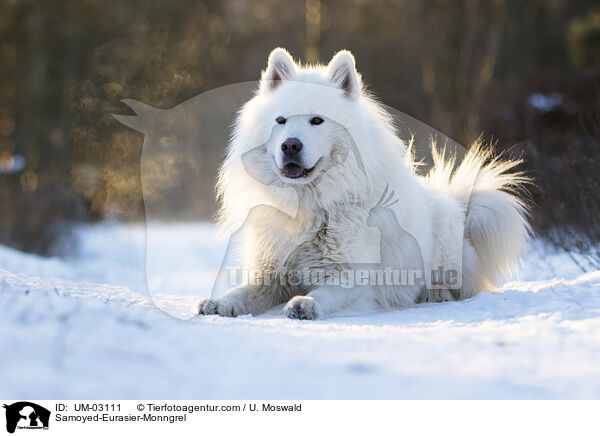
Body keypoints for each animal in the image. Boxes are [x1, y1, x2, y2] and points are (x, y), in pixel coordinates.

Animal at [198, 47, 528, 320]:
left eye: (317, 121)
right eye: (280, 120)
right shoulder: (270, 272)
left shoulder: (350, 276)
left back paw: (435, 294)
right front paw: (219, 303)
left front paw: (306, 304)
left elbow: (326, 293)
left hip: (446, 257)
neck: (308, 204)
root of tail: (458, 203)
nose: (290, 145)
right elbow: (243, 292)